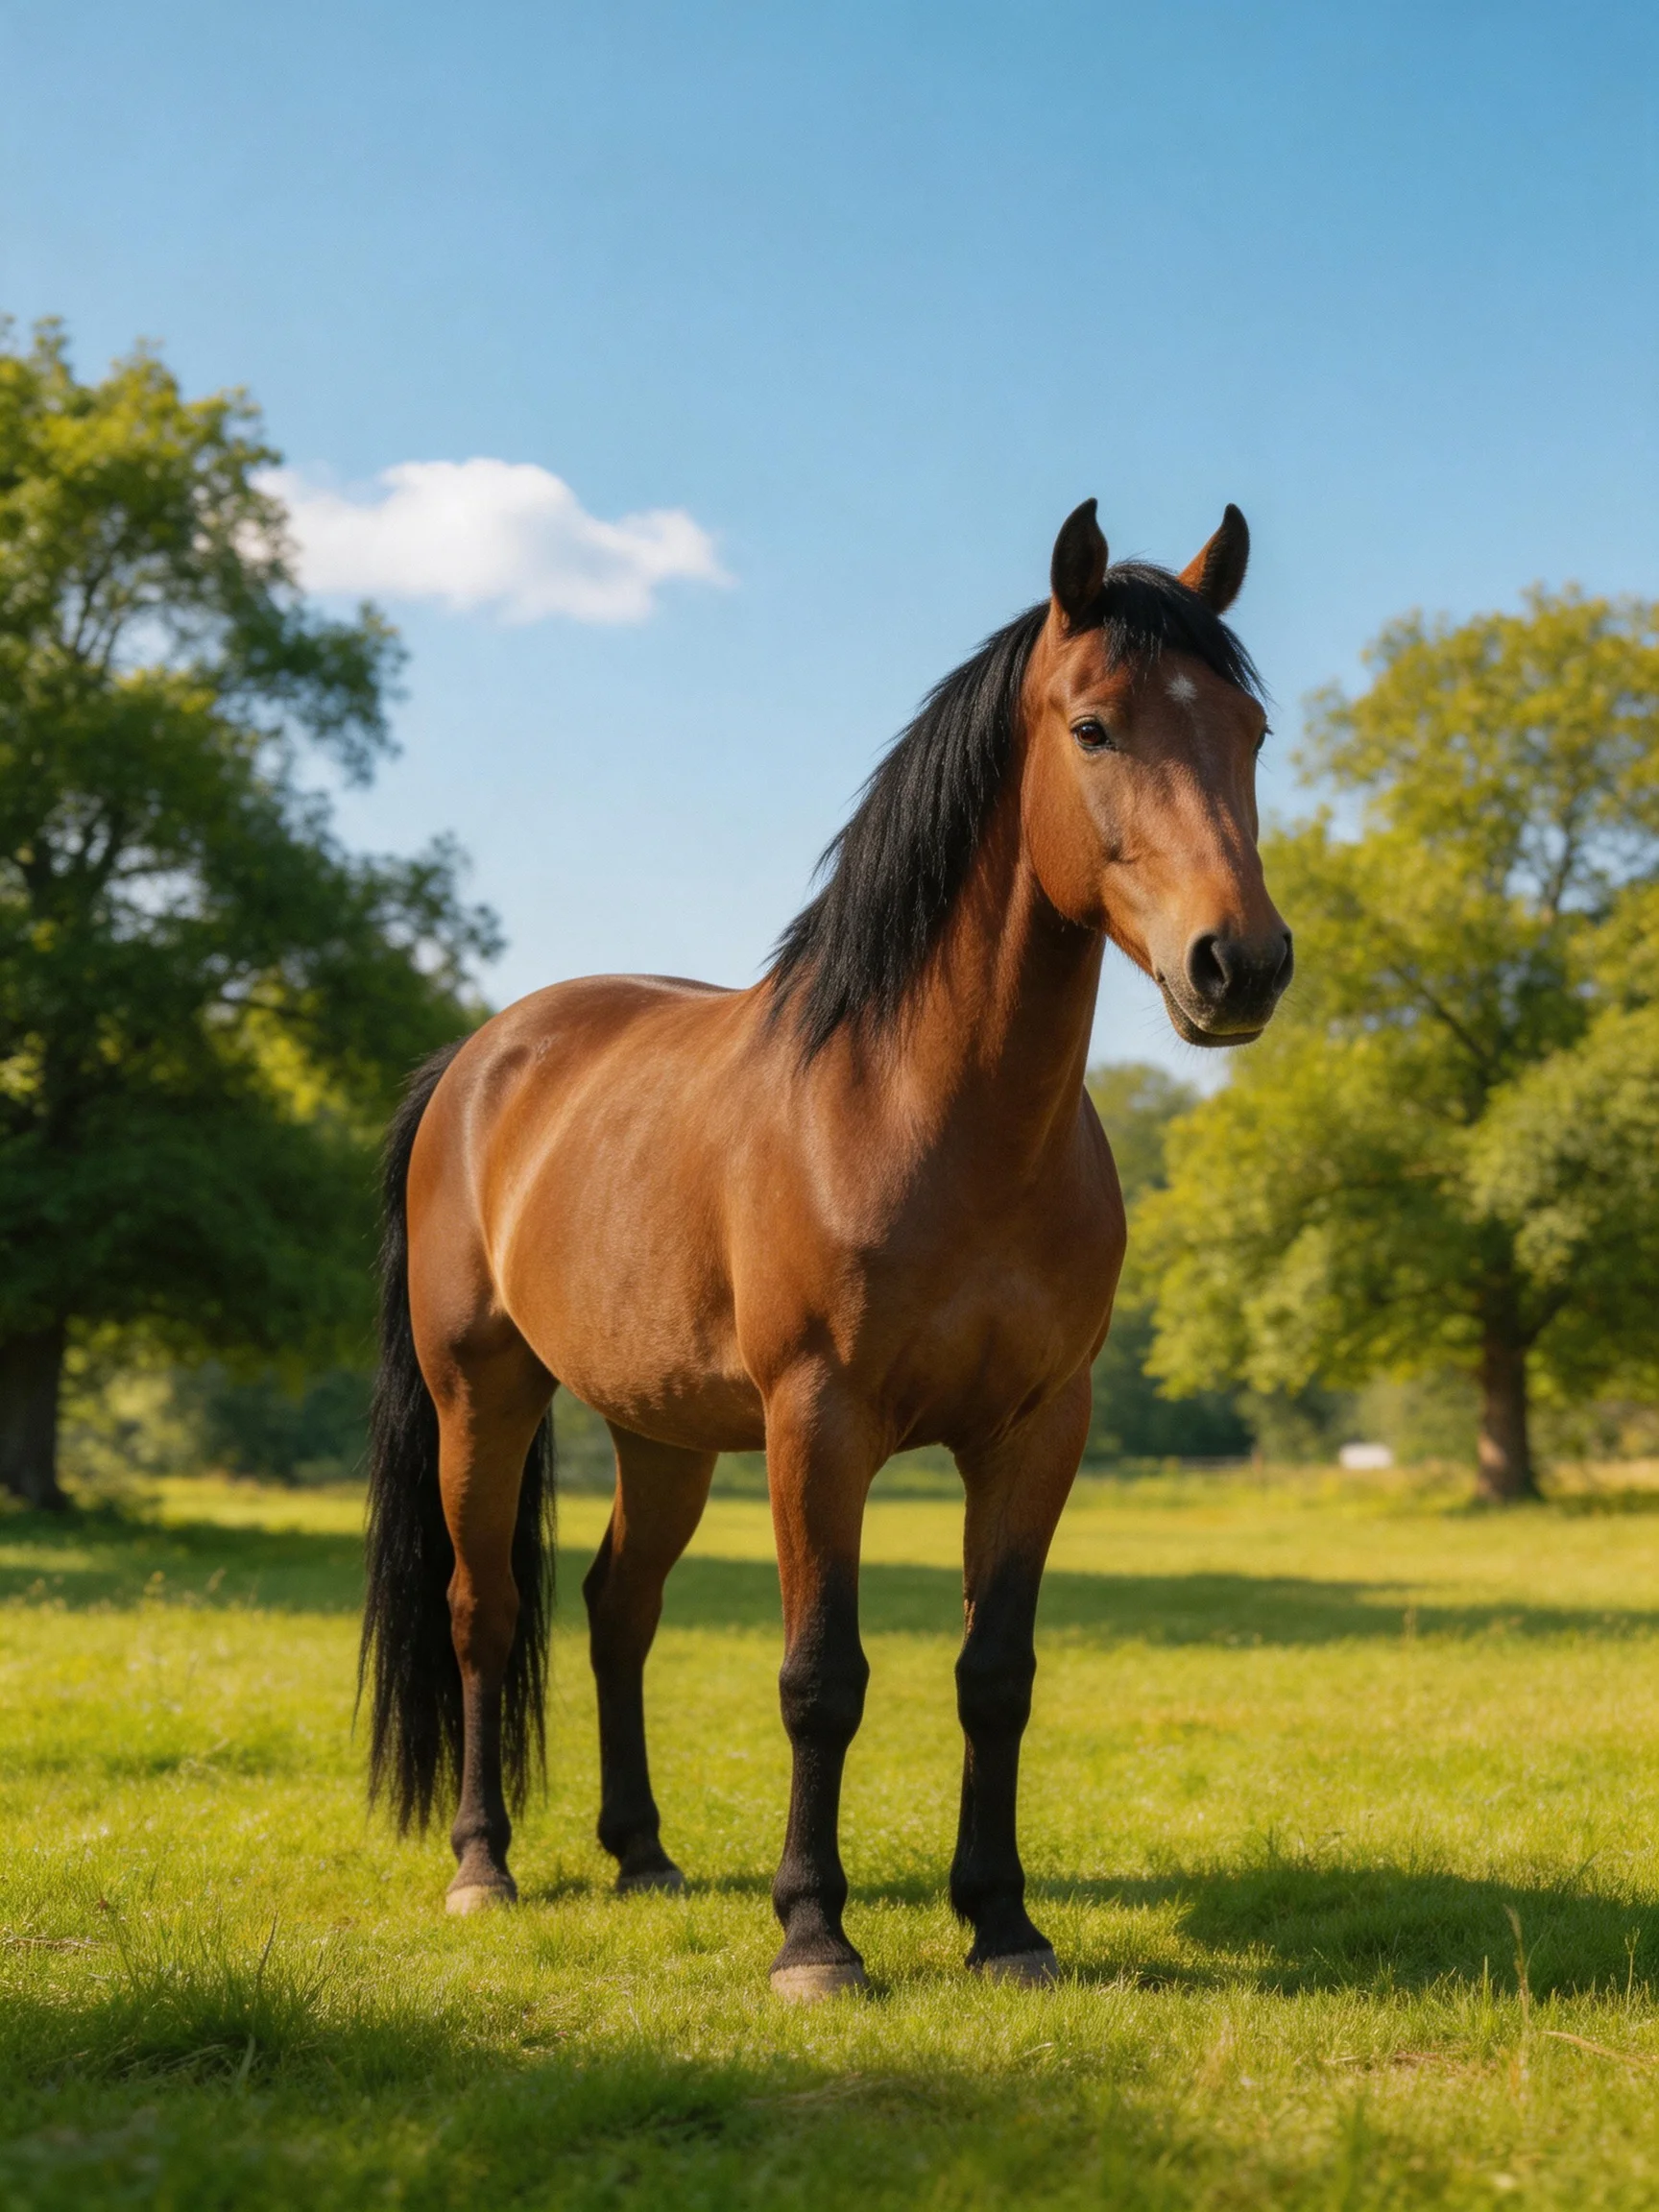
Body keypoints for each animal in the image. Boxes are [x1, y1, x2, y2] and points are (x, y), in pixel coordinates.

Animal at [360, 496, 1290, 2001]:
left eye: (1253, 733)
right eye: (1094, 728)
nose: (1240, 966)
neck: (925, 1111)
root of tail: (482, 1057)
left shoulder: (1039, 1429)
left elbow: (994, 1676)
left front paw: (1004, 1924)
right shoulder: (819, 1423)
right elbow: (819, 1678)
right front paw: (814, 1935)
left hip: (661, 1430)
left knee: (617, 1605)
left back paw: (644, 1855)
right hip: (478, 1400)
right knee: (481, 1613)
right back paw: (484, 1866)